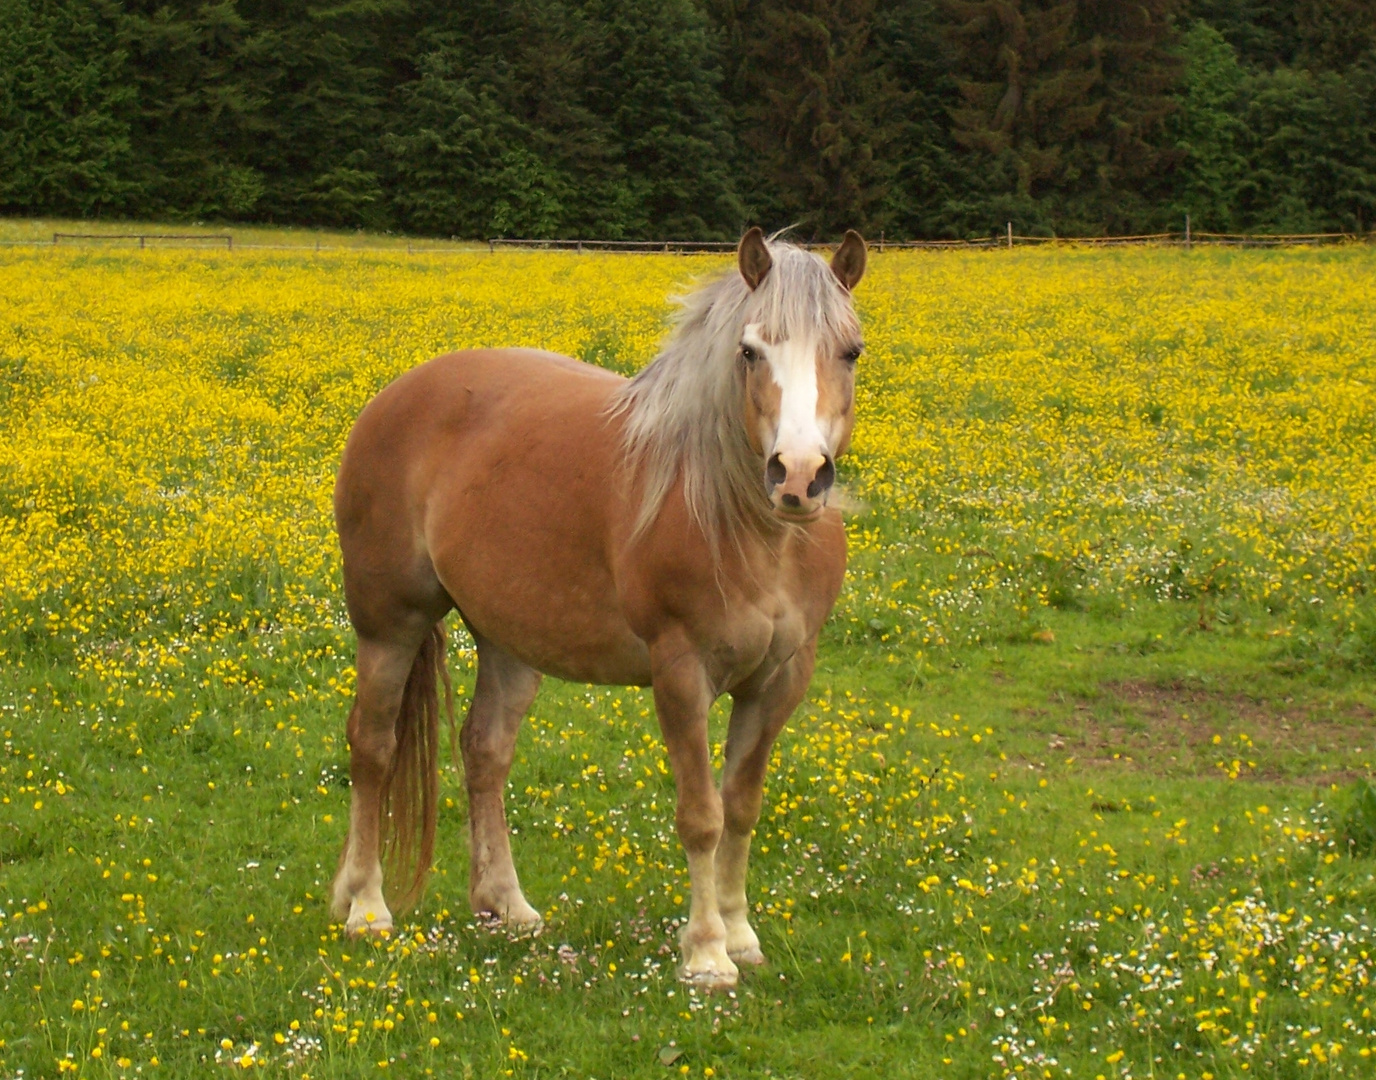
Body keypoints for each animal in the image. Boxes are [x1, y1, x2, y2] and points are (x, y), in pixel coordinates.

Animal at [328, 227, 864, 985]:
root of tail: (394, 397)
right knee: (373, 747)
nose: (798, 475)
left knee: (484, 752)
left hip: (509, 641)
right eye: (749, 351)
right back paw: (366, 906)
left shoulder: (781, 680)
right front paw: (705, 953)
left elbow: (741, 808)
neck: (741, 522)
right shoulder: (681, 674)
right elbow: (701, 814)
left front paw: (739, 935)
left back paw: (505, 906)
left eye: (850, 351)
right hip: (389, 625)